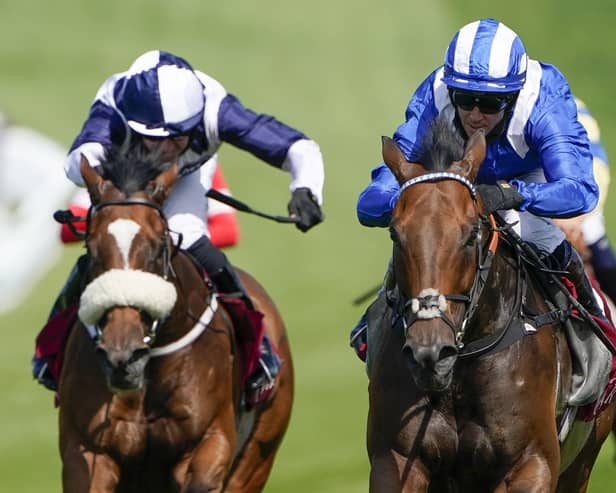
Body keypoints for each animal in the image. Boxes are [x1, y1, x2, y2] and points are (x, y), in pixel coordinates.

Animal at [57, 151, 294, 492]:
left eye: (158, 247)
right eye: (91, 246)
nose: (122, 355)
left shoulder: (209, 443)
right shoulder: (89, 450)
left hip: (259, 453)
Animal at [368, 120, 612, 492]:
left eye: (471, 235)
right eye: (396, 234)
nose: (430, 353)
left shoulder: (532, 464)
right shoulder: (394, 460)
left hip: (582, 461)